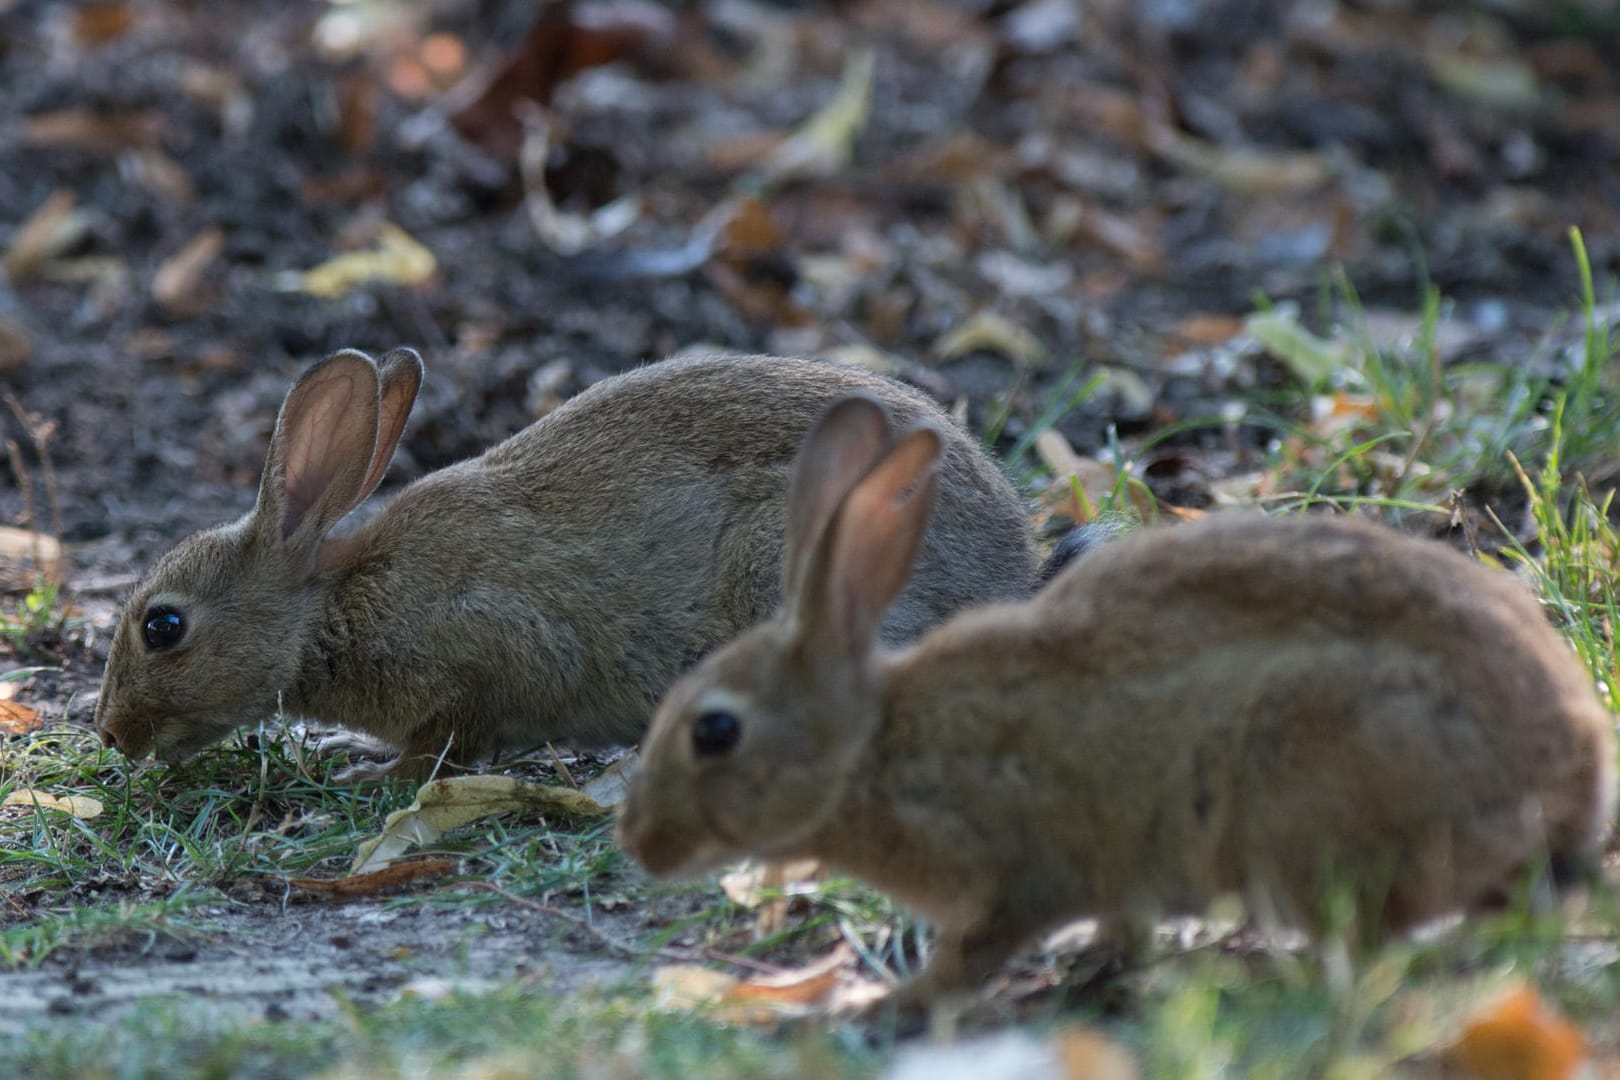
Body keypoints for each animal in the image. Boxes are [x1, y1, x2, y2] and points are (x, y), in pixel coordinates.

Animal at [94, 351, 1036, 780]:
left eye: (163, 626)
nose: (108, 732)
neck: (330, 610)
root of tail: (1011, 575)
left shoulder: (488, 647)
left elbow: (450, 741)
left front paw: (377, 771)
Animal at [612, 399, 1613, 1016]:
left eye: (715, 731)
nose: (642, 843)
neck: (876, 747)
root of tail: (1570, 786)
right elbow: (1118, 925)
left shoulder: (1014, 867)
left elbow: (971, 956)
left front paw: (890, 1005)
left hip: (1311, 787)